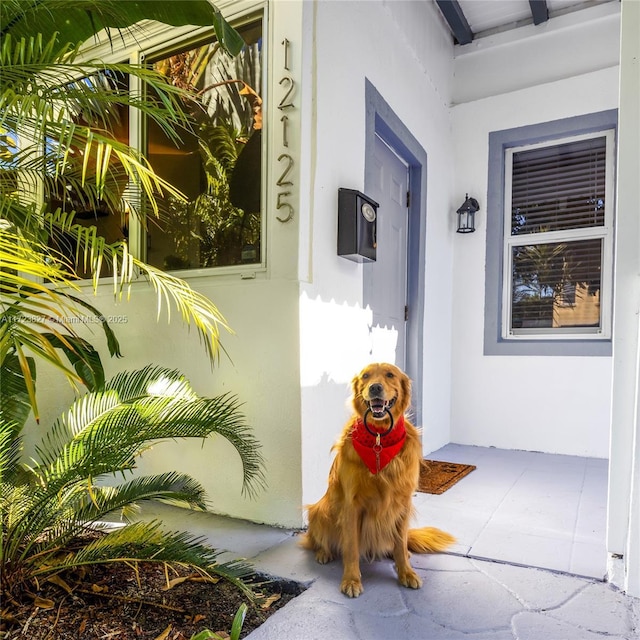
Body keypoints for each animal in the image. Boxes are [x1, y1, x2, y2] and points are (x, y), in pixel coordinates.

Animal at [300, 362, 456, 596]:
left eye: (390, 375)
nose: (374, 387)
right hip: (320, 510)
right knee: (318, 540)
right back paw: (324, 553)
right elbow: (351, 548)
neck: (379, 438)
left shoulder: (403, 503)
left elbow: (400, 543)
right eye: (365, 376)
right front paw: (352, 580)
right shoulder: (351, 505)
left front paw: (406, 572)